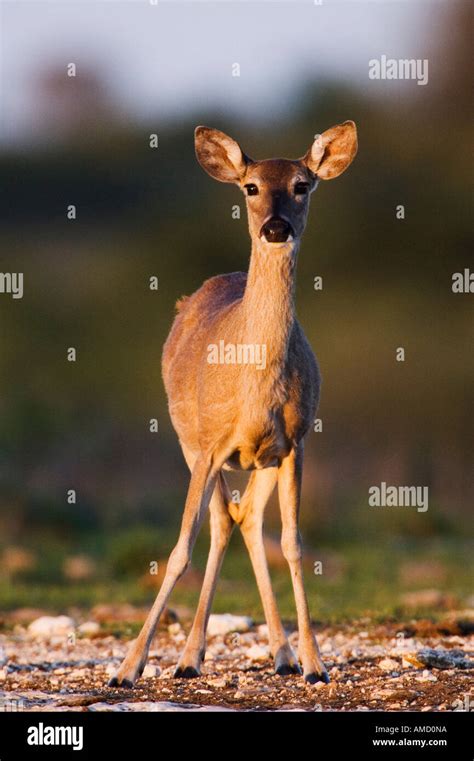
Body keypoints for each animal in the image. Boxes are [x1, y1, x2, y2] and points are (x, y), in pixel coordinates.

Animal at [110, 120, 356, 688]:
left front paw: (316, 665)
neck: (255, 386)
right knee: (224, 522)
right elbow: (181, 547)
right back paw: (187, 658)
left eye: (303, 185)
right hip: (189, 440)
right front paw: (128, 669)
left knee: (248, 521)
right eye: (250, 187)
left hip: (260, 460)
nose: (275, 228)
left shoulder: (295, 441)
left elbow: (293, 544)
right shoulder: (209, 444)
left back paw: (280, 655)